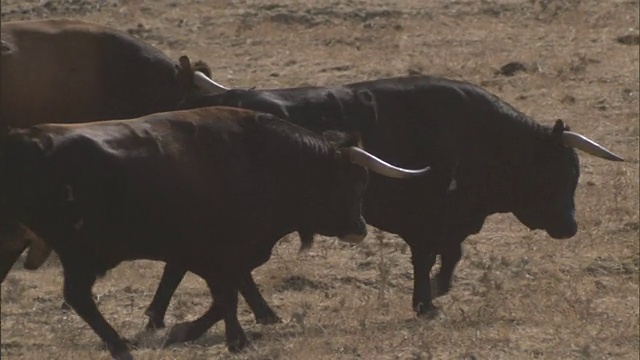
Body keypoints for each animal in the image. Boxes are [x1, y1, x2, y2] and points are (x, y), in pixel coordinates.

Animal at [0, 107, 430, 360]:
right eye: (354, 182)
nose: (359, 229)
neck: (263, 159)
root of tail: (24, 140)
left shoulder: (218, 255)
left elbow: (225, 294)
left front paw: (184, 330)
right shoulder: (220, 252)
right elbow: (227, 295)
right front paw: (235, 340)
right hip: (79, 253)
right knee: (78, 296)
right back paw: (119, 346)